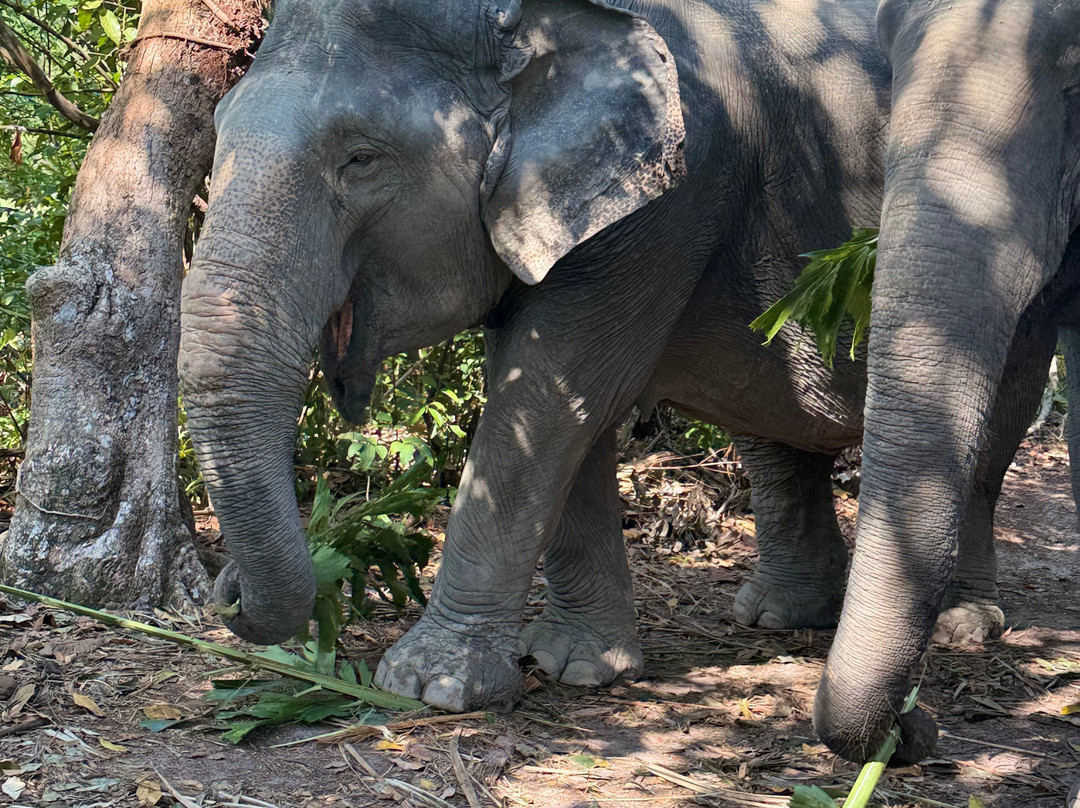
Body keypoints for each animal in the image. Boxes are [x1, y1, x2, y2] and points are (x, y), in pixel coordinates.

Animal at [176, 0, 1070, 764]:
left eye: (360, 158)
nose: (223, 590)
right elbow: (559, 398)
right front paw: (572, 665)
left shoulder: (671, 192)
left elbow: (552, 389)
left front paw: (433, 686)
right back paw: (780, 615)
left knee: (997, 423)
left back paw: (959, 625)